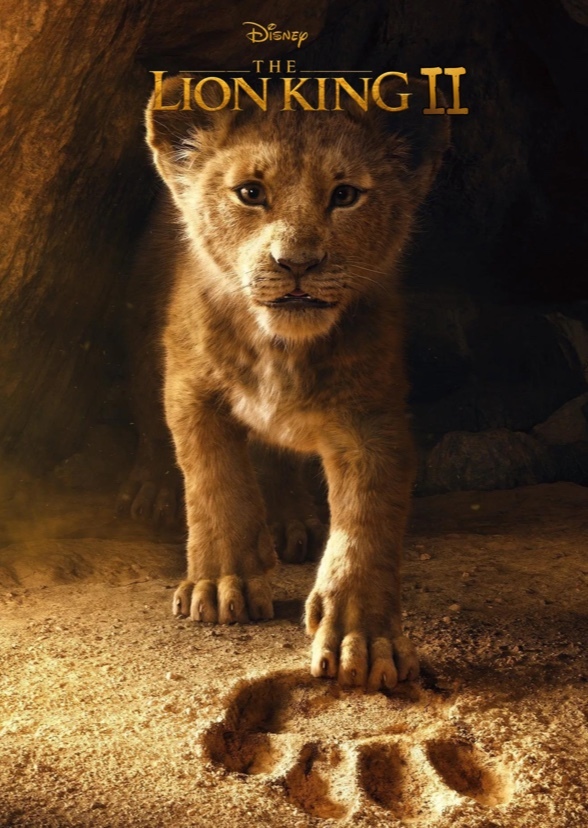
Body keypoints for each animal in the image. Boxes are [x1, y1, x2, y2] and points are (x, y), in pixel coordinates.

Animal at [122, 75, 449, 690]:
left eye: (345, 195)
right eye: (250, 193)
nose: (296, 263)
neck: (282, 347)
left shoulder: (372, 418)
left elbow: (367, 523)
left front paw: (362, 639)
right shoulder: (191, 388)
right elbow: (215, 482)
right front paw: (221, 584)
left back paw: (290, 520)